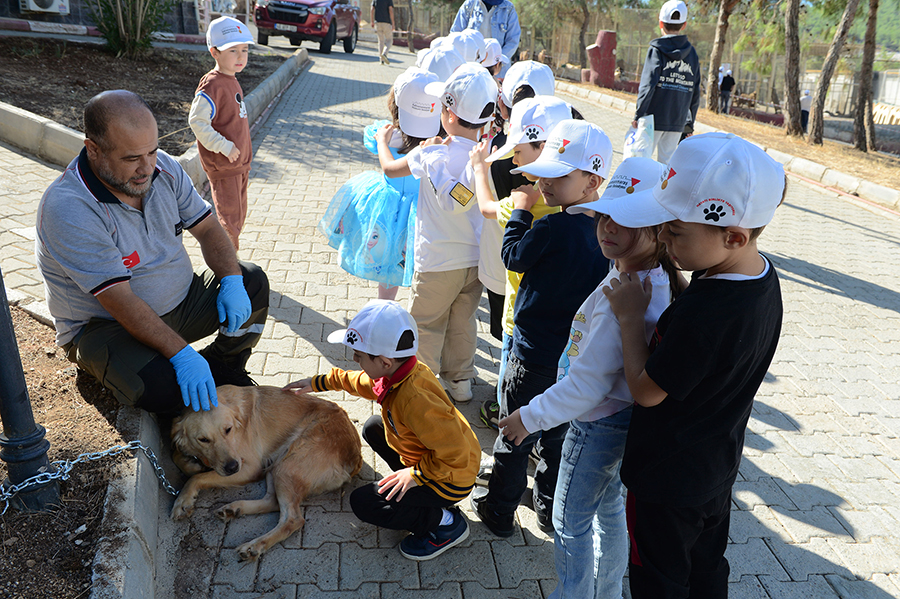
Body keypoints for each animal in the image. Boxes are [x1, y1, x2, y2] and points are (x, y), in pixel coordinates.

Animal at [171, 384, 360, 564]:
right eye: (203, 440)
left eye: (228, 430)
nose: (232, 467)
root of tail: (354, 454)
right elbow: (178, 457)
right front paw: (192, 465)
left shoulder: (250, 467)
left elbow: (196, 478)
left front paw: (182, 501)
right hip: (275, 463)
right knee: (272, 501)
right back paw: (234, 509)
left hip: (287, 466)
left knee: (293, 519)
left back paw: (254, 546)